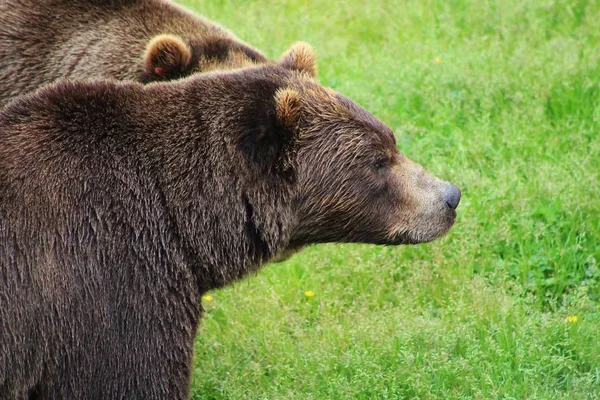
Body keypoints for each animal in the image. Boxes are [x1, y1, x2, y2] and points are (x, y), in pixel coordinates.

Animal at [0, 42, 460, 398]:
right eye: (377, 161)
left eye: (391, 140)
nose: (450, 196)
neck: (178, 218)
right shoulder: (107, 284)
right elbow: (130, 377)